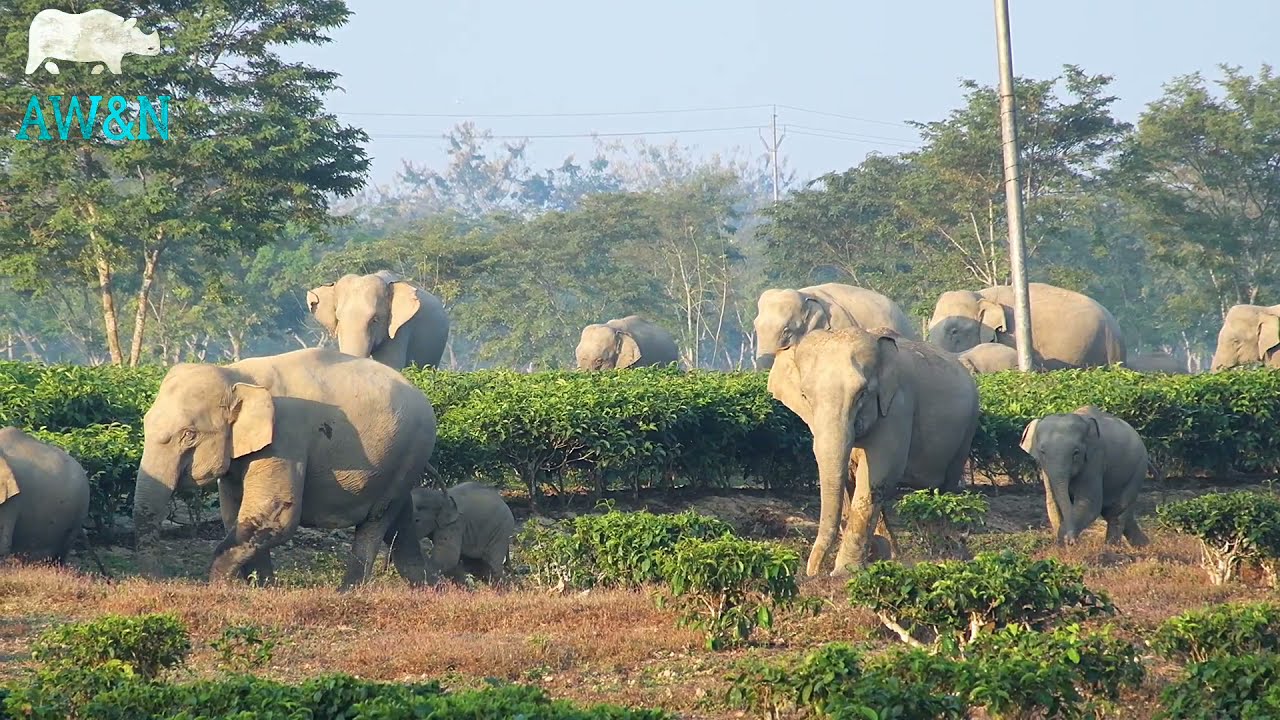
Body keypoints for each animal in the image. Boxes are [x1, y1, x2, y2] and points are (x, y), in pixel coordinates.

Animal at [132, 347, 438, 591]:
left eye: (189, 435)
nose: (157, 580)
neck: (236, 374)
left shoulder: (285, 438)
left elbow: (274, 513)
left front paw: (220, 587)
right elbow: (237, 515)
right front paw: (263, 589)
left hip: (410, 451)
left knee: (375, 521)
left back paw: (348, 593)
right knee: (399, 518)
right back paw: (428, 588)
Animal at [767, 327, 980, 577]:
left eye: (862, 393)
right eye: (804, 395)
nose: (813, 572)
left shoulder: (896, 408)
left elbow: (876, 478)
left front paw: (844, 572)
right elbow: (848, 480)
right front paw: (876, 556)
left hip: (967, 429)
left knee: (946, 486)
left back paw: (946, 554)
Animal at [1019, 405, 1150, 547]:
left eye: (1076, 453)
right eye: (1042, 452)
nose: (1072, 541)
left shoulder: (1095, 459)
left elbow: (1088, 504)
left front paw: (1066, 542)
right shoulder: (1046, 470)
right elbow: (1052, 503)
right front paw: (1062, 545)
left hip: (1138, 470)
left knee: (1116, 512)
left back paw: (1111, 548)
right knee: (1115, 512)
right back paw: (1144, 545)